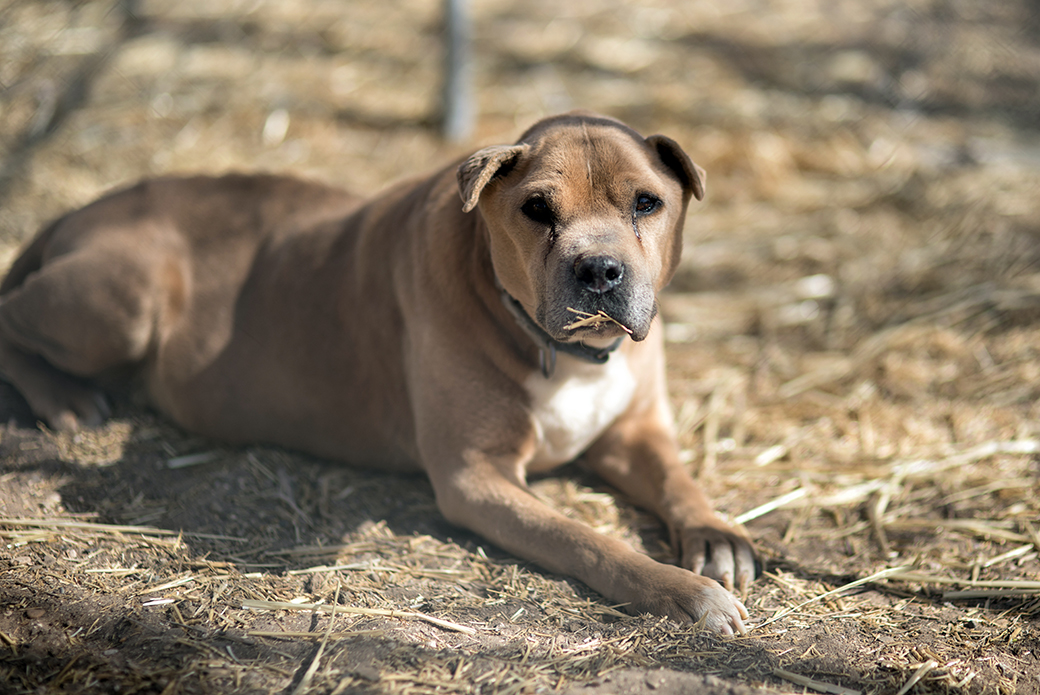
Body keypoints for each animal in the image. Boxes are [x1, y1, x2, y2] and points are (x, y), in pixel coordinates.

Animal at [0, 111, 752, 632]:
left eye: (646, 203)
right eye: (537, 209)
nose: (598, 270)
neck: (566, 352)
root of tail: (83, 208)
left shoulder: (636, 431)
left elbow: (679, 480)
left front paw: (717, 535)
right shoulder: (475, 478)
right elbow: (590, 541)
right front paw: (685, 593)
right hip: (128, 293)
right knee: (9, 311)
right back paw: (64, 398)